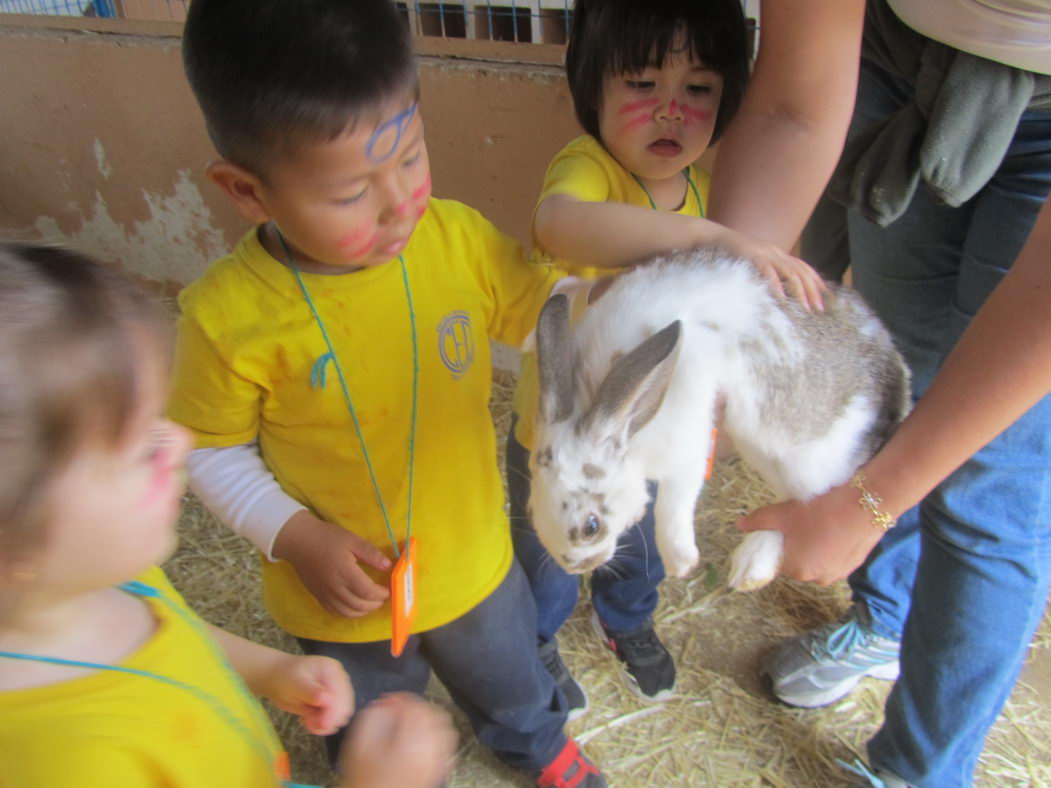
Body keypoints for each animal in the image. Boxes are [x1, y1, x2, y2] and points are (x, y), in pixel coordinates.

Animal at [529, 247, 908, 592]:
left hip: (804, 458)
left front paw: (680, 562)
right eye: (533, 511)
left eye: (591, 526)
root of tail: (893, 366)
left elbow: (673, 504)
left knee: (810, 506)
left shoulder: (688, 444)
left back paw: (752, 568)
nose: (573, 566)